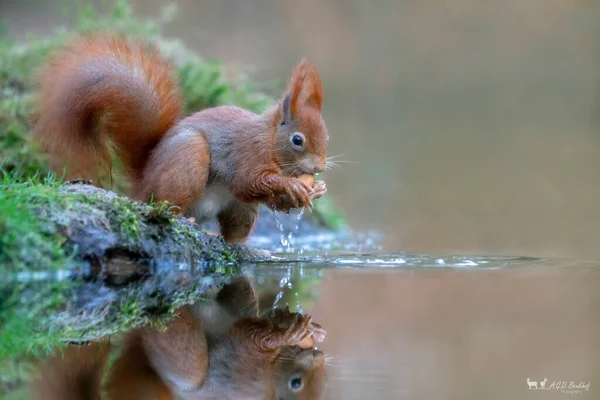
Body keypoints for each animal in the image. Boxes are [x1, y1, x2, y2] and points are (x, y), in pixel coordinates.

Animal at [31, 278, 328, 400]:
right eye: (296, 383)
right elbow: (255, 336)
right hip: (188, 360)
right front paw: (291, 332)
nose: (319, 358)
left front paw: (310, 330)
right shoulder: (247, 359)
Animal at [34, 34, 328, 242]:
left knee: (234, 235)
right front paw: (290, 185)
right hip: (188, 159)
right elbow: (249, 181)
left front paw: (316, 189)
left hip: (240, 210)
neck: (270, 141)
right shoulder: (247, 152)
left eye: (327, 137)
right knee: (170, 204)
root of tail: (144, 182)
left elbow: (273, 202)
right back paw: (183, 220)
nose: (320, 167)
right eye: (297, 140)